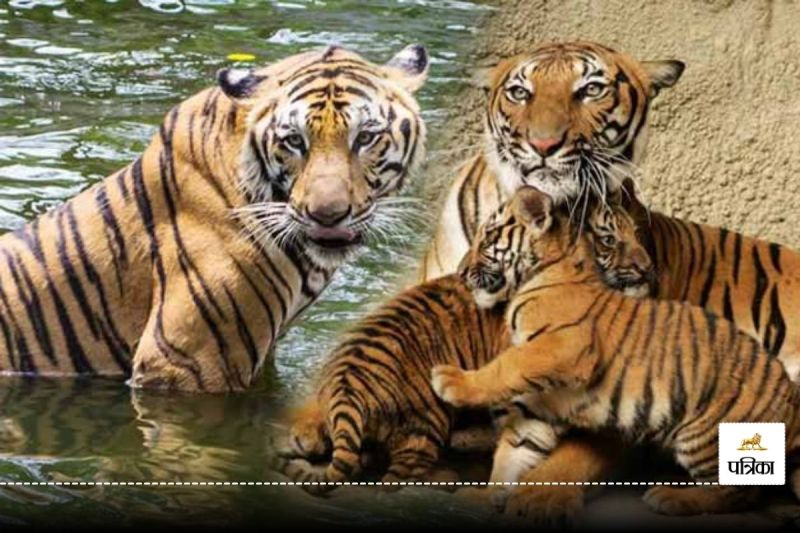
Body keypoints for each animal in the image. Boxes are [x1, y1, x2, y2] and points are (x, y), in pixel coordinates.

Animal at [276, 192, 652, 492]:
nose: (645, 269)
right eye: (608, 239)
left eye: (636, 234)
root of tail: (347, 387)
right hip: (428, 418)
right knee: (396, 477)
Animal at [432, 186, 800, 516]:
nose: (461, 272)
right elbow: (514, 453)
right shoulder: (542, 401)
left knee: (740, 491)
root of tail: (790, 402)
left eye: (488, 235)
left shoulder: (563, 346)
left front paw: (451, 381)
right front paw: (482, 497)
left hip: (704, 434)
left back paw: (673, 498)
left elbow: (507, 366)